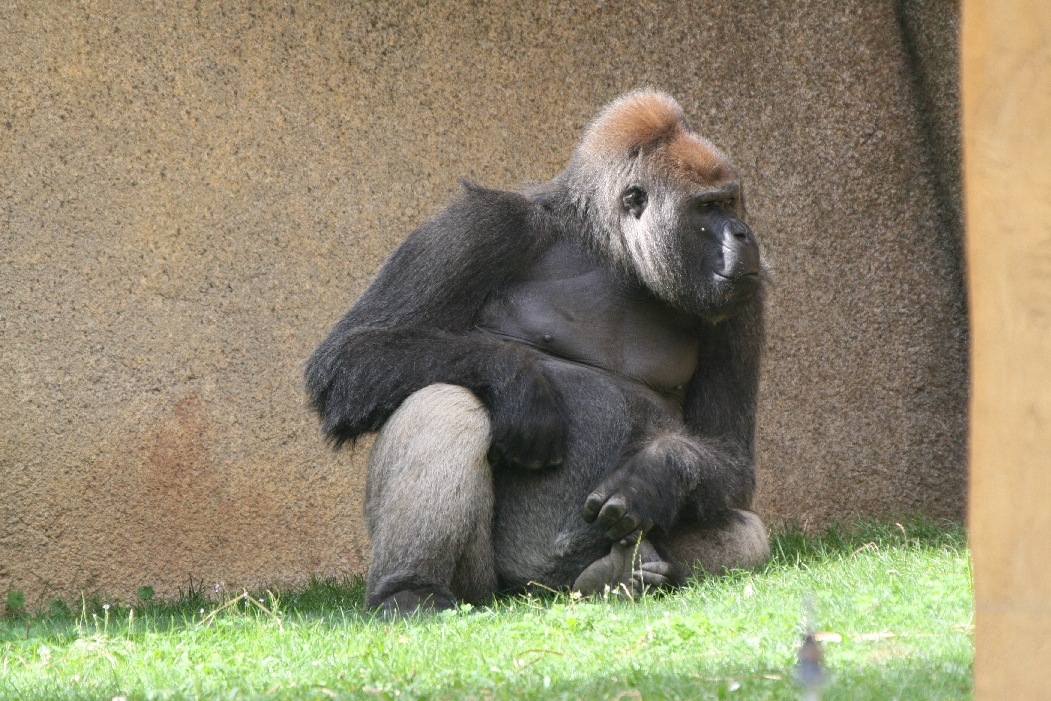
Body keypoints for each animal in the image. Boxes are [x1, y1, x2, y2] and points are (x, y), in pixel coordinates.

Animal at [305, 90, 770, 613]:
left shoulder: (745, 302)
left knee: (747, 535)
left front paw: (652, 477)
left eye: (730, 202)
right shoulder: (483, 225)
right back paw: (409, 588)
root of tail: (548, 594)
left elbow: (729, 455)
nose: (743, 233)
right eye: (708, 207)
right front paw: (519, 382)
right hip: (489, 591)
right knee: (443, 400)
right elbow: (351, 353)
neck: (607, 248)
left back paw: (626, 575)